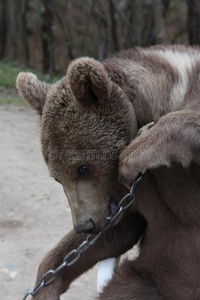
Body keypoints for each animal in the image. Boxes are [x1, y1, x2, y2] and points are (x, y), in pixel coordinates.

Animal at [16, 45, 200, 300]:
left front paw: (135, 155)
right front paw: (45, 287)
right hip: (152, 276)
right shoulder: (135, 202)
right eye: (56, 177)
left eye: (82, 167)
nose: (84, 225)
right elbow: (116, 232)